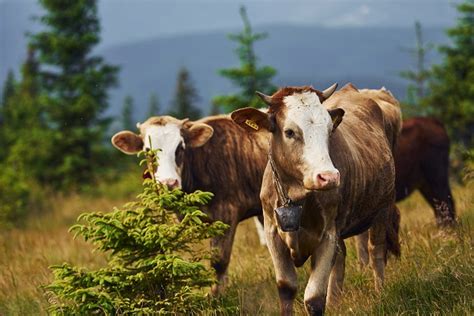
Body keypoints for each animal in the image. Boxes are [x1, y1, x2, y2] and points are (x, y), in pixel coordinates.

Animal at [109, 114, 268, 294]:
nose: (168, 184)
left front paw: (217, 295)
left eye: (180, 148)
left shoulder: (226, 213)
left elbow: (219, 261)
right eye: (148, 151)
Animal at [231, 82, 402, 314]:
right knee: (342, 257)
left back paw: (379, 293)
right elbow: (286, 288)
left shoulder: (328, 235)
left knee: (376, 251)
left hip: (383, 208)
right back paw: (335, 304)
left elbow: (314, 298)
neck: (296, 197)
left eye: (329, 129)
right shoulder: (272, 234)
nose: (328, 177)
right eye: (290, 131)